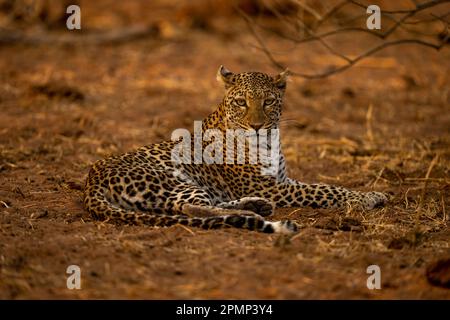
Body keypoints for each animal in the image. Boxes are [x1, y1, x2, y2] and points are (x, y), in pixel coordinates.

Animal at [83, 66, 386, 234]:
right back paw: (251, 214)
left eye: (268, 101)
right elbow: (325, 190)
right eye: (241, 102)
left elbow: (323, 186)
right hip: (173, 180)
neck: (270, 140)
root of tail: (91, 180)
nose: (256, 126)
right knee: (190, 207)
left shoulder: (280, 181)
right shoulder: (271, 187)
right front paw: (367, 197)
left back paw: (255, 207)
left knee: (198, 205)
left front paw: (370, 194)